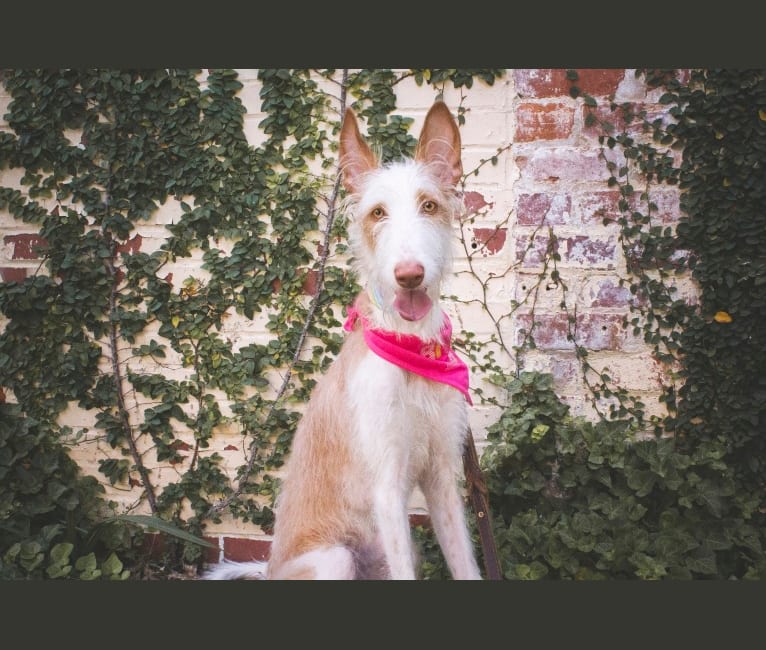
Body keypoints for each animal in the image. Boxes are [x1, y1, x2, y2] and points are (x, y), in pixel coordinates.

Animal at [204, 100, 480, 576]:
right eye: (377, 213)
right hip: (334, 556)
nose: (409, 275)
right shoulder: (387, 487)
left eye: (429, 205)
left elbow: (465, 564)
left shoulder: (443, 478)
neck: (411, 347)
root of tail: (269, 570)